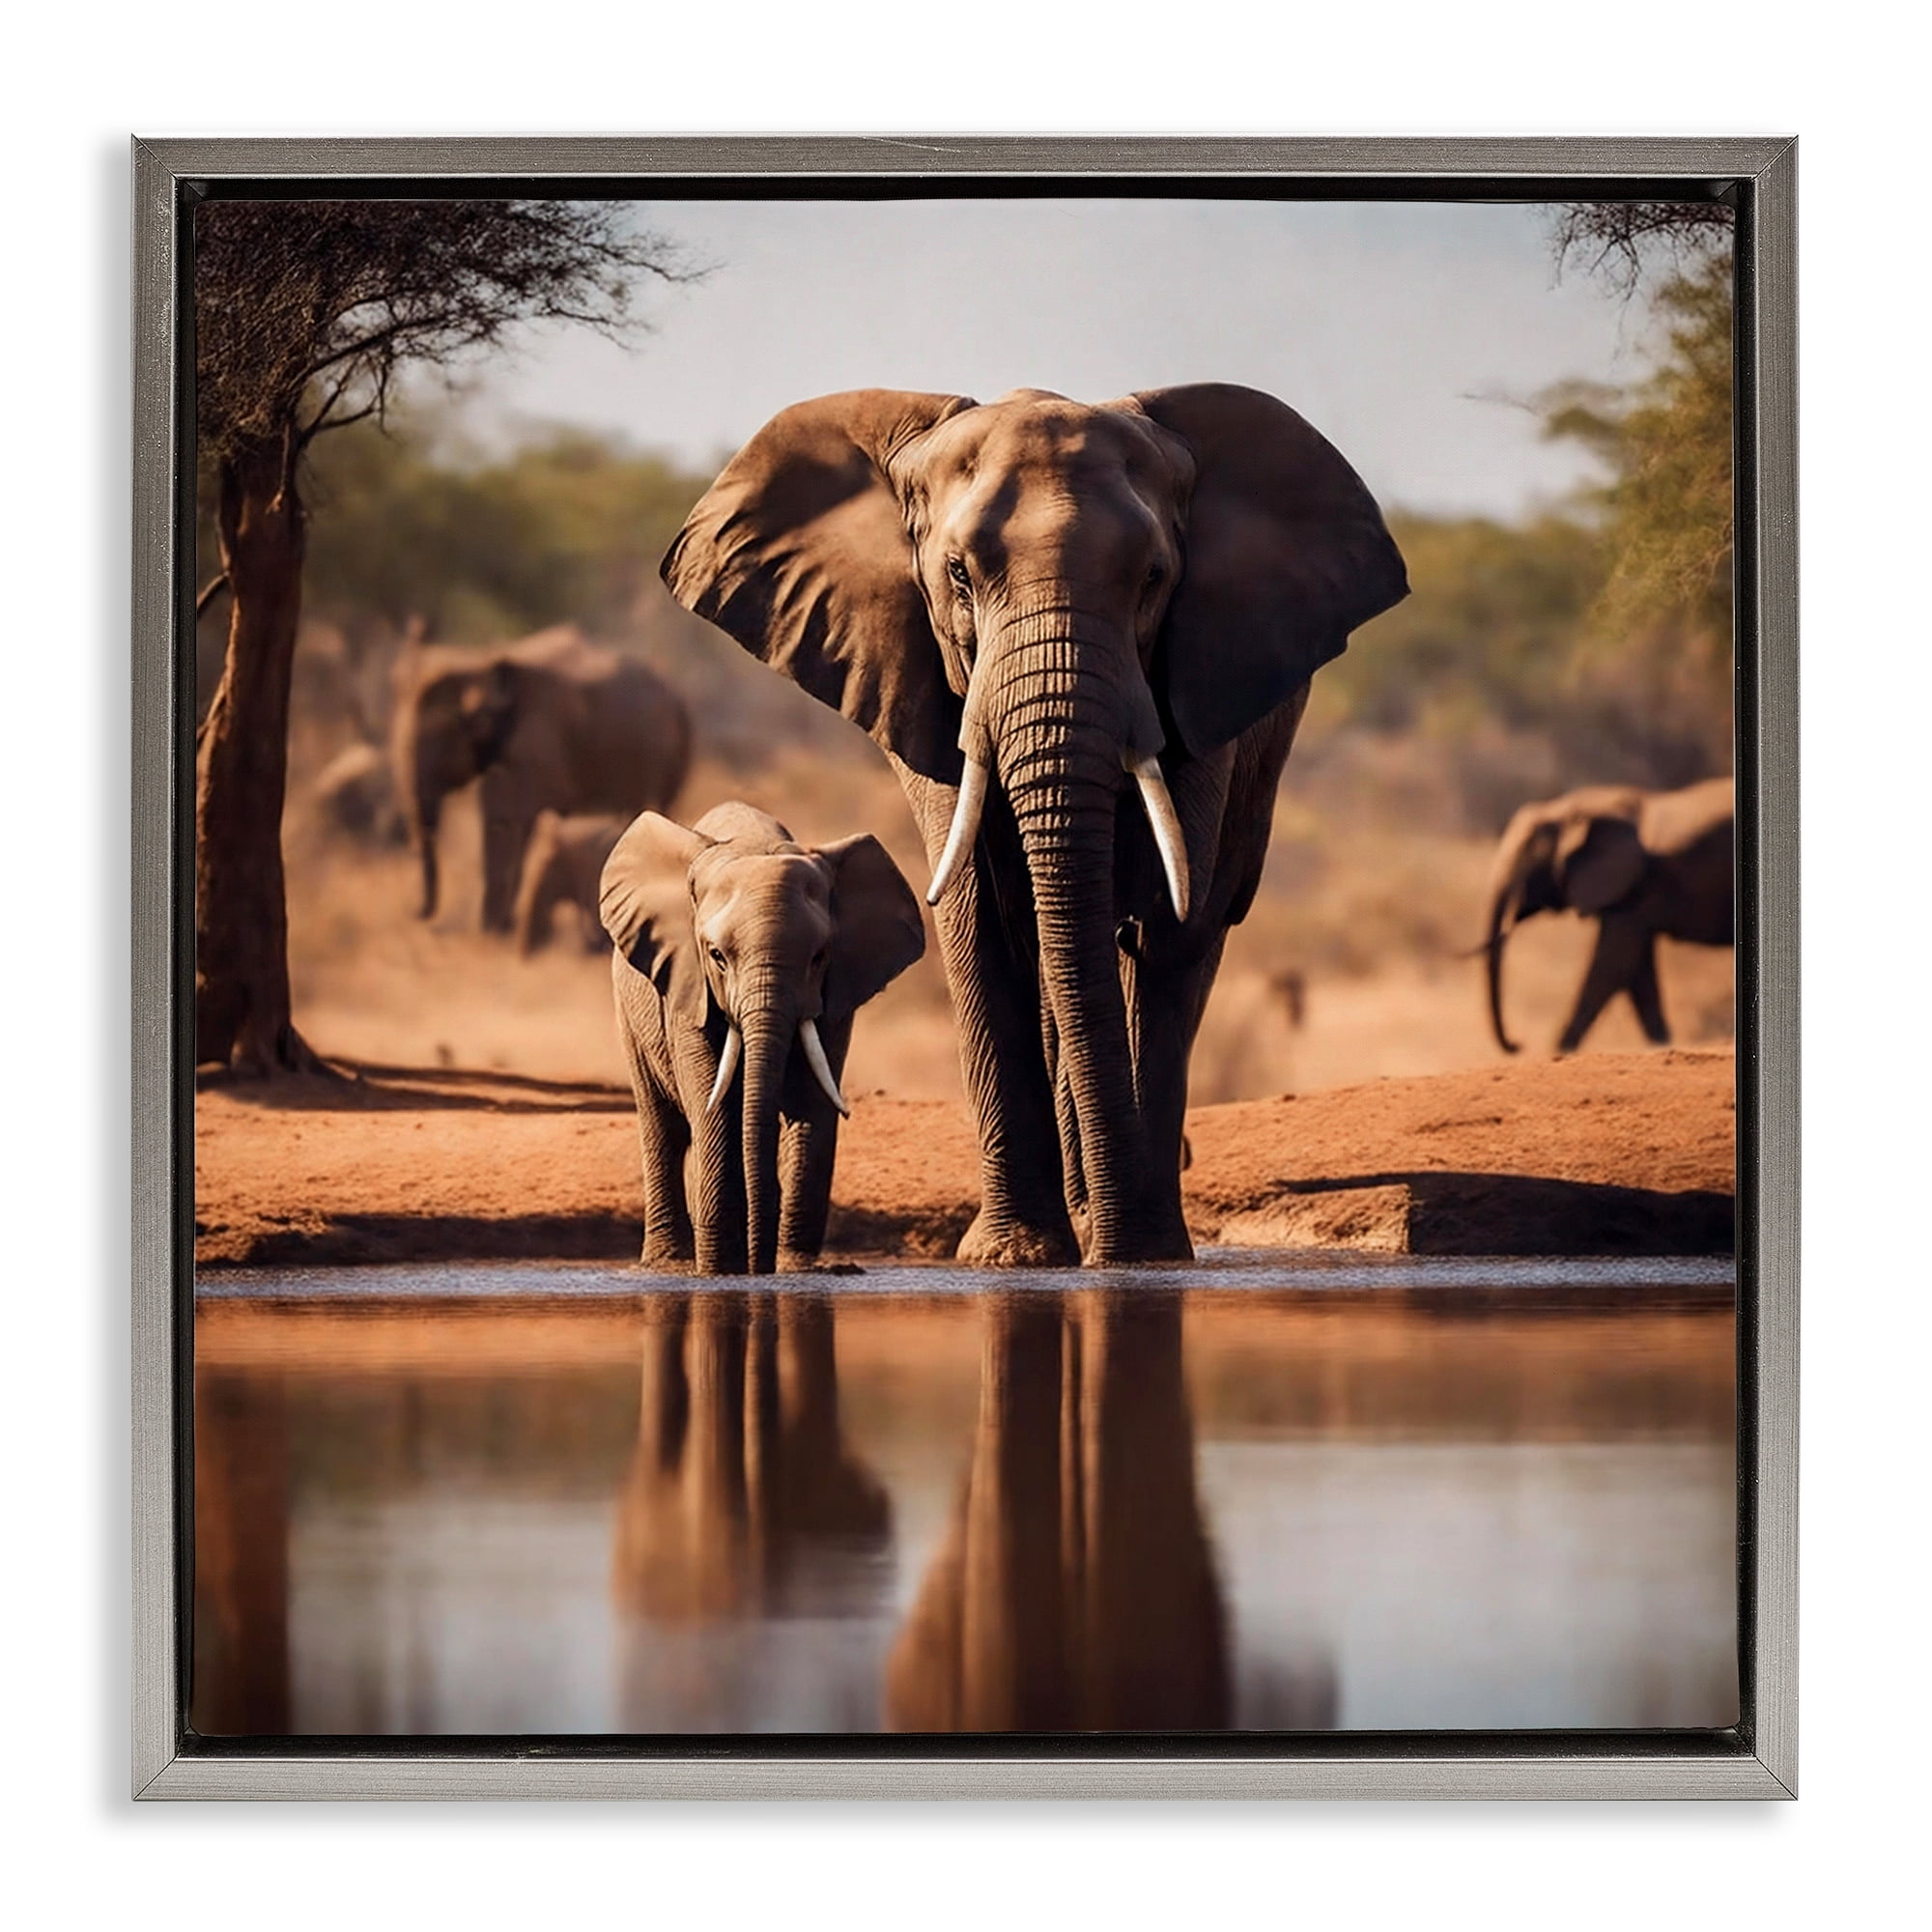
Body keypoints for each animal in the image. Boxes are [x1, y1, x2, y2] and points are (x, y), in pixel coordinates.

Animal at [391, 626, 691, 932]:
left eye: (441, 738)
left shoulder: (537, 745)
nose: (415, 915)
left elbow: (514, 819)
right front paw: (492, 929)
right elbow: (495, 818)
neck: (479, 663)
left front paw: (498, 929)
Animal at [600, 801, 927, 1275]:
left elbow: (812, 1101)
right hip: (631, 1012)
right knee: (662, 1126)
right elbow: (712, 1103)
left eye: (819, 957)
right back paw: (669, 1264)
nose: (759, 1266)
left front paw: (796, 1270)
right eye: (717, 956)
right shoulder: (688, 982)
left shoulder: (836, 992)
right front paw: (720, 1270)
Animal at [661, 384, 1407, 1266]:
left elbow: (1164, 923)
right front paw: (1017, 1257)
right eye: (957, 574)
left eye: (1154, 578)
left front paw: (1144, 1254)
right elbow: (980, 916)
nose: (1113, 1247)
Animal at [1481, 775, 1734, 1055]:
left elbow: (1613, 963)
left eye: (1527, 861)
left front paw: (1558, 1052)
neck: (1570, 807)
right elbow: (1636, 970)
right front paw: (1662, 1045)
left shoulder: (1632, 885)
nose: (1518, 1044)